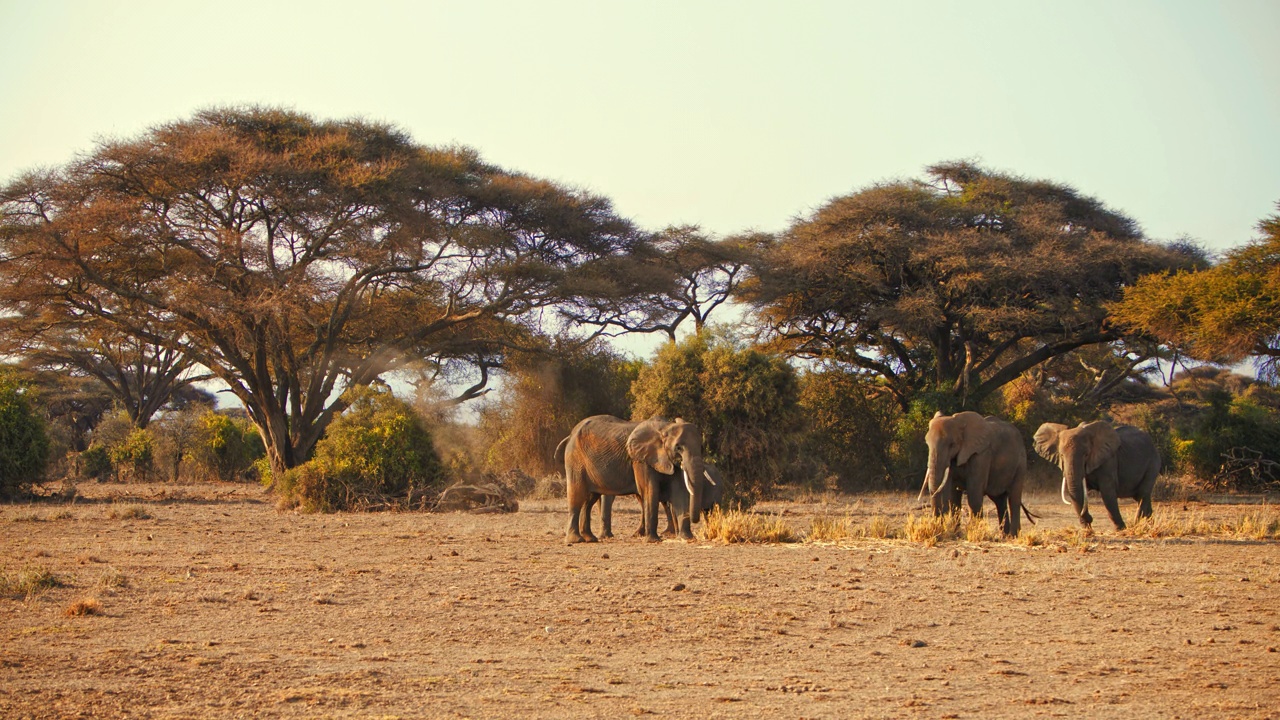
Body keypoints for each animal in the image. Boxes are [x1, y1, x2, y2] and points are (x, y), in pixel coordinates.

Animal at [1029, 417, 1162, 530]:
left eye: (1086, 455)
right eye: (1061, 455)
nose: (1089, 519)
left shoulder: (1109, 461)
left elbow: (1108, 493)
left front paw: (1121, 529)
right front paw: (1086, 528)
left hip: (1153, 463)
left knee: (1142, 494)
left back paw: (1137, 526)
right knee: (1141, 497)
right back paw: (1149, 525)